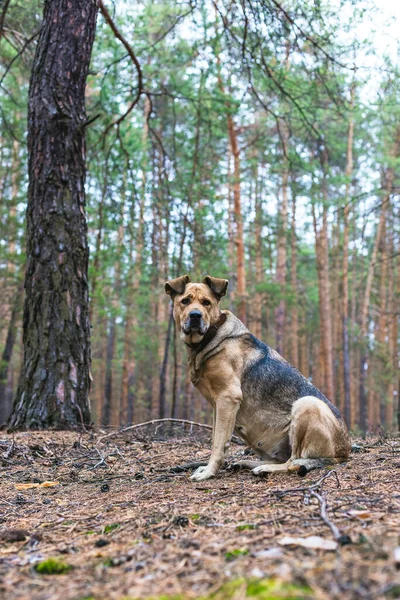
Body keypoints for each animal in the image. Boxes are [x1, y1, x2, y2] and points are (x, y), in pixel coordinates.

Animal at [165, 274, 350, 480]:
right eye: (185, 301)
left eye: (206, 303)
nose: (195, 315)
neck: (209, 337)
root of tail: (344, 452)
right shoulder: (218, 405)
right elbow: (216, 439)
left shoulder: (227, 398)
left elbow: (219, 444)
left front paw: (209, 472)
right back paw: (247, 463)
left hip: (307, 404)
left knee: (293, 461)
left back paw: (264, 468)